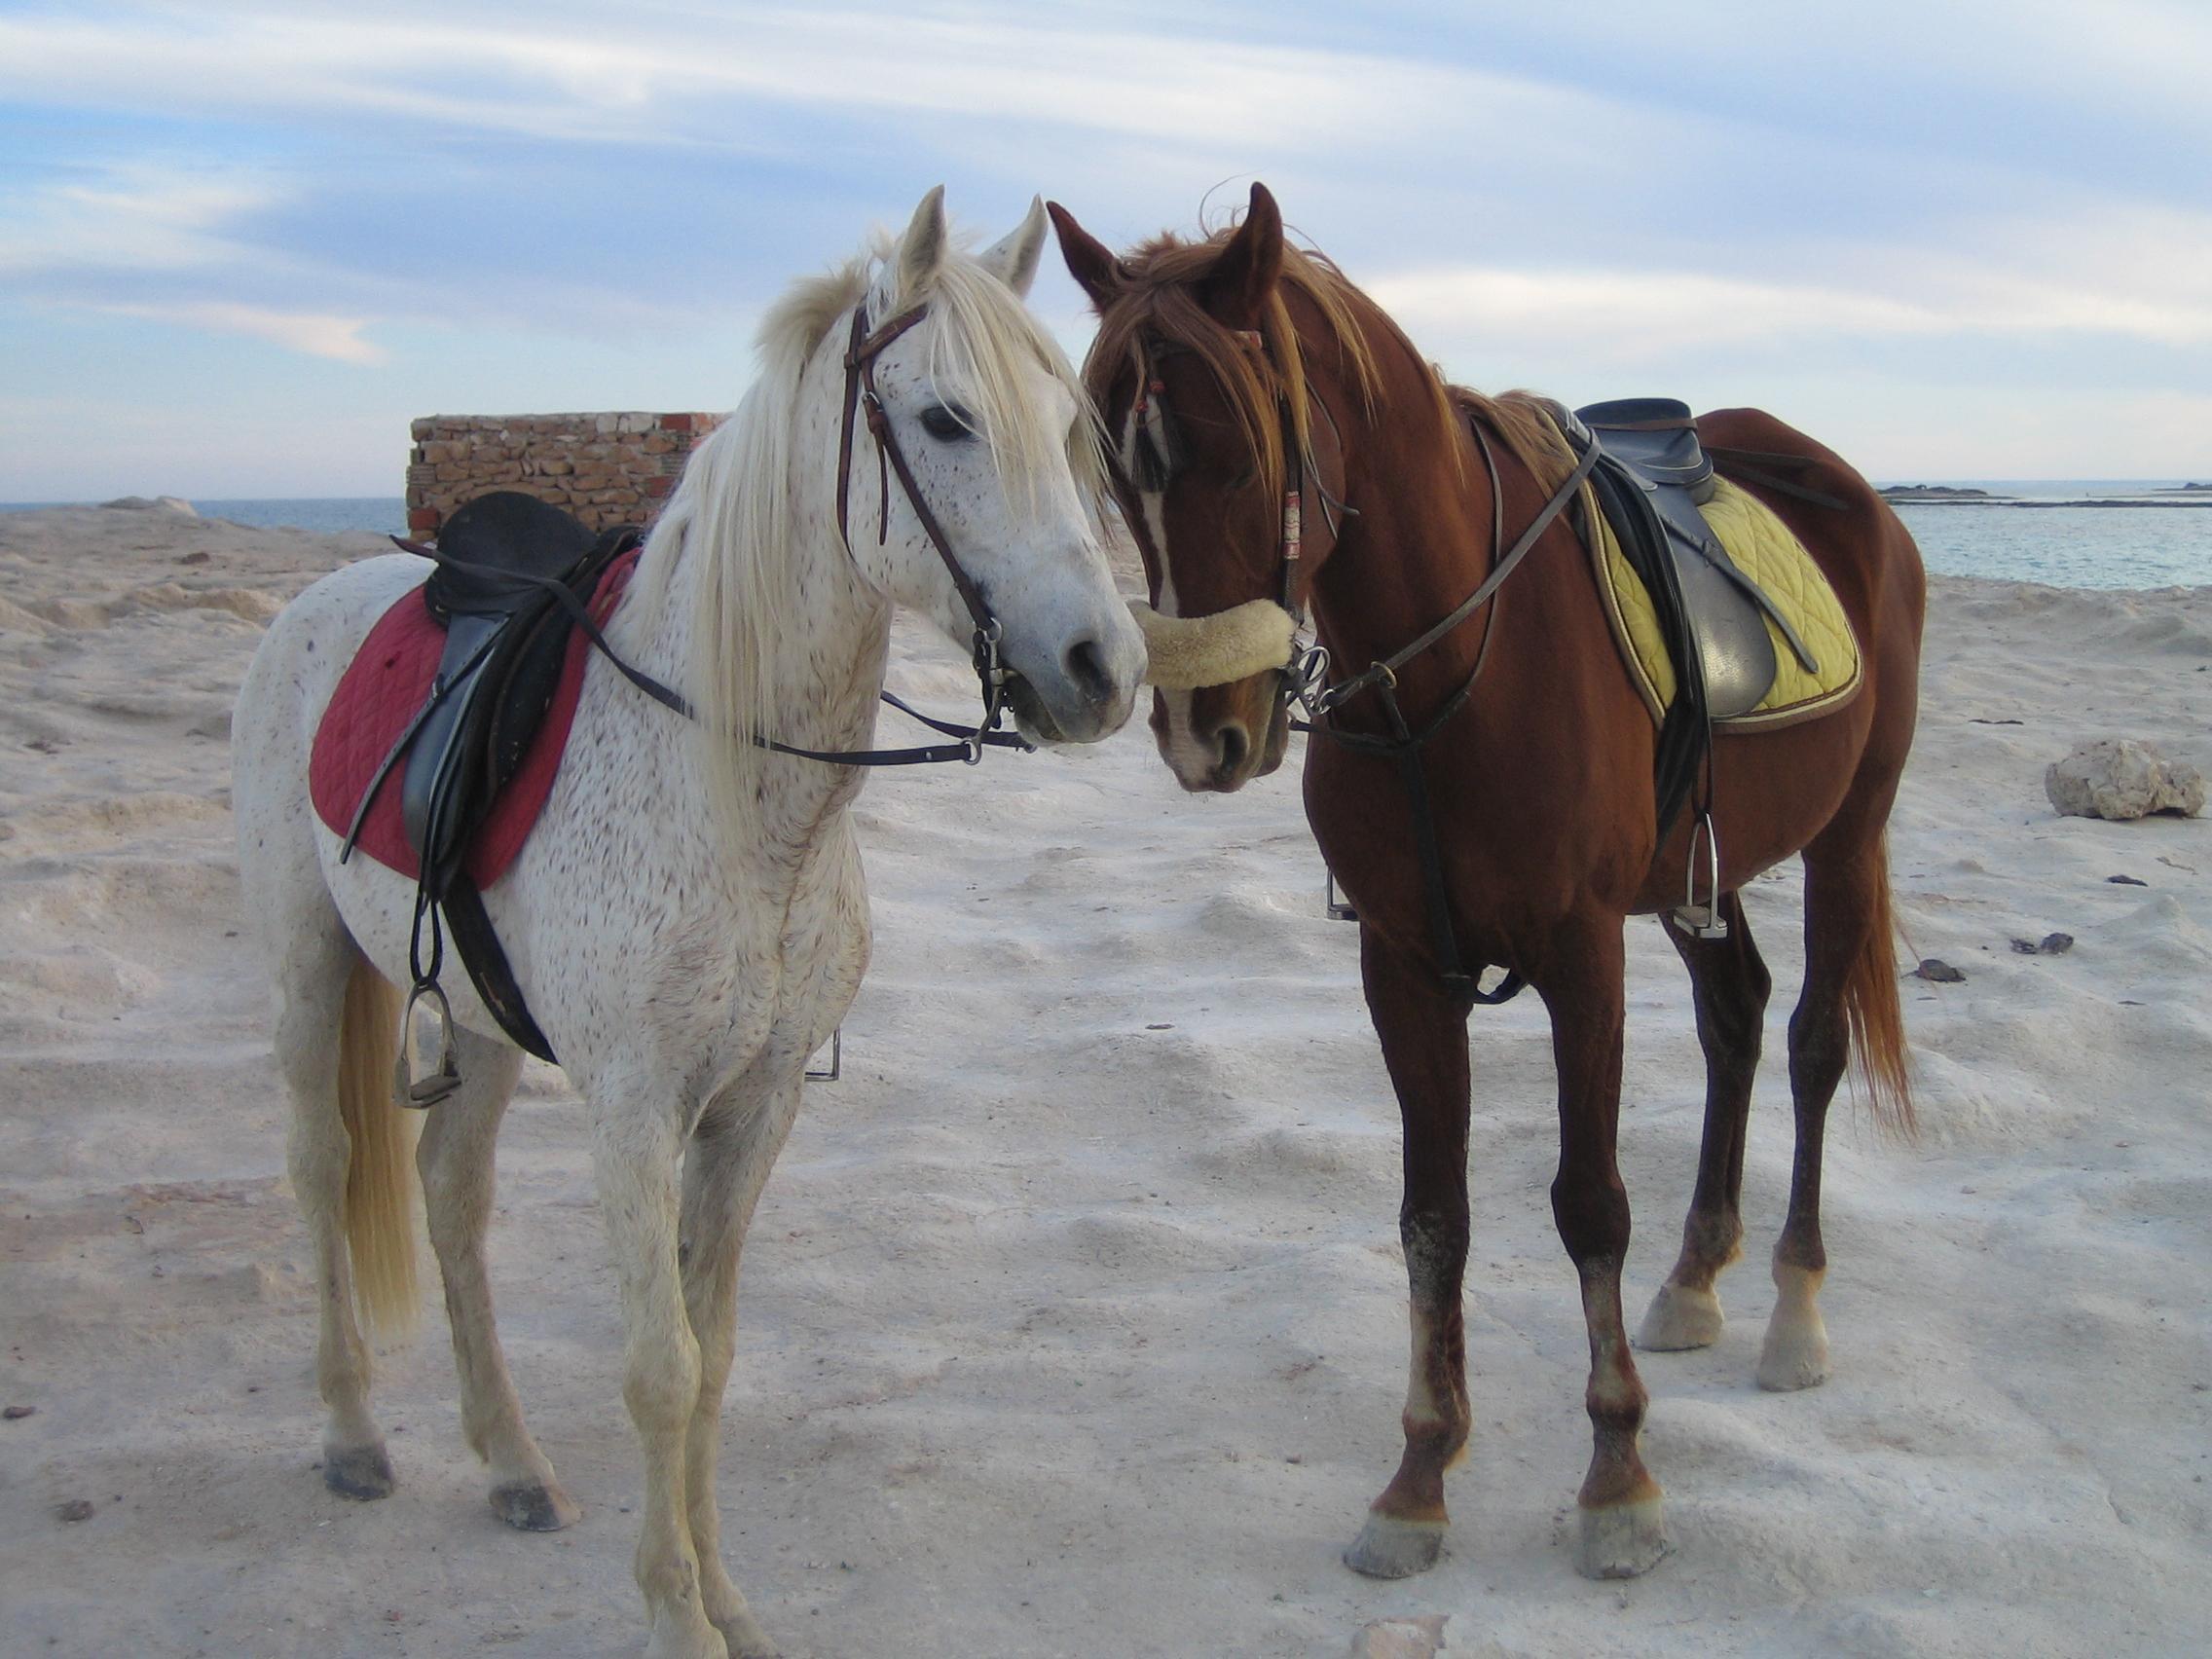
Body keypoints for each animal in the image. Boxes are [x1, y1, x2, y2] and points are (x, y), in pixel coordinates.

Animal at [235, 194, 1150, 1659]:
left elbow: (713, 1357)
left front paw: (726, 1601)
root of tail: (321, 605)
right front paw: (675, 1613)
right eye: (946, 419)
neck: (739, 800)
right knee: (323, 1168)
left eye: (1070, 423)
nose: (1101, 671)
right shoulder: (633, 1109)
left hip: (477, 1023)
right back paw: (352, 1436)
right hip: (307, 968)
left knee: (448, 1196)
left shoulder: (756, 1103)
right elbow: (659, 1371)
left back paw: (509, 1462)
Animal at [1052, 181, 1920, 1583]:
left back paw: (1793, 1310)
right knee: (1735, 1018)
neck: (1447, 666)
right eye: (1117, 470)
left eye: (1233, 445)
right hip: (1699, 871)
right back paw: (1698, 1279)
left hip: (1850, 836)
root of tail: (1853, 495)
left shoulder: (1582, 955)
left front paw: (1618, 1477)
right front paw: (1418, 1476)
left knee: (1807, 1045)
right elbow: (1432, 1216)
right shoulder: (1402, 965)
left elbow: (1588, 1205)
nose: (1202, 732)